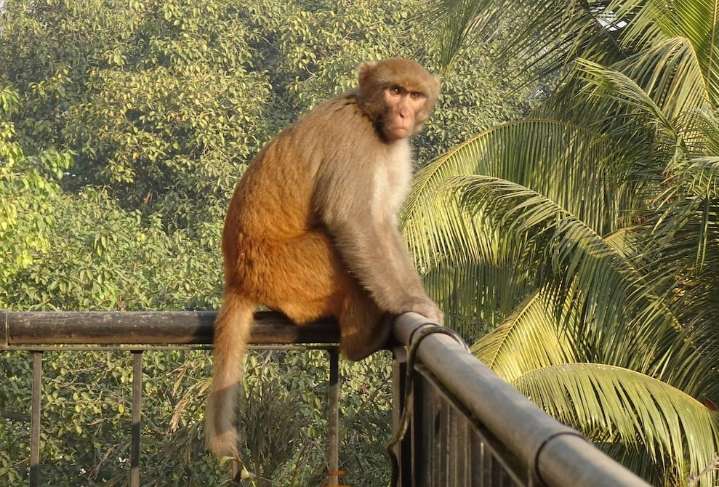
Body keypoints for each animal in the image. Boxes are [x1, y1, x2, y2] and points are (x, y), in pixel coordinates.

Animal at [206, 58, 443, 459]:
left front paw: (416, 297)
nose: (403, 113)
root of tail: (237, 277)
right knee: (336, 246)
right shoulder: (355, 139)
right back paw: (363, 339)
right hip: (286, 270)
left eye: (414, 95)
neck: (371, 118)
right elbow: (354, 220)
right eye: (394, 90)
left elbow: (383, 224)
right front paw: (408, 303)